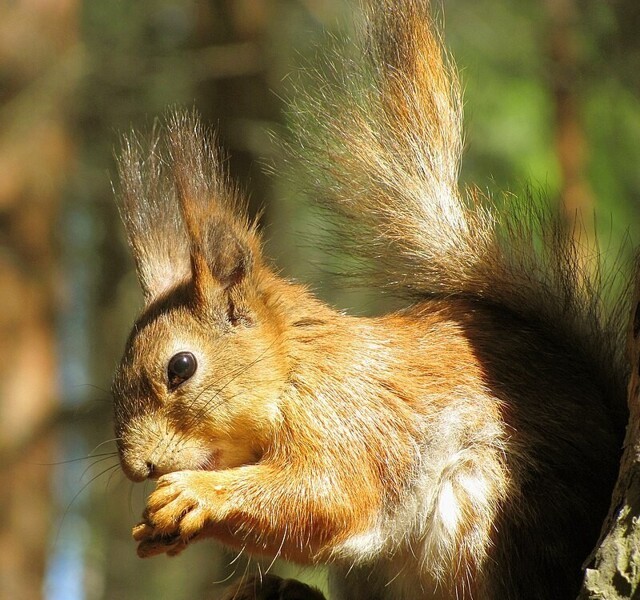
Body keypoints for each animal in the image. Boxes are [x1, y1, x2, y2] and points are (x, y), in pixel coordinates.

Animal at [111, 1, 632, 600]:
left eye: (181, 366)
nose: (138, 467)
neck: (295, 368)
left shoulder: (348, 417)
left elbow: (329, 494)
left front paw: (198, 493)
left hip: (487, 520)